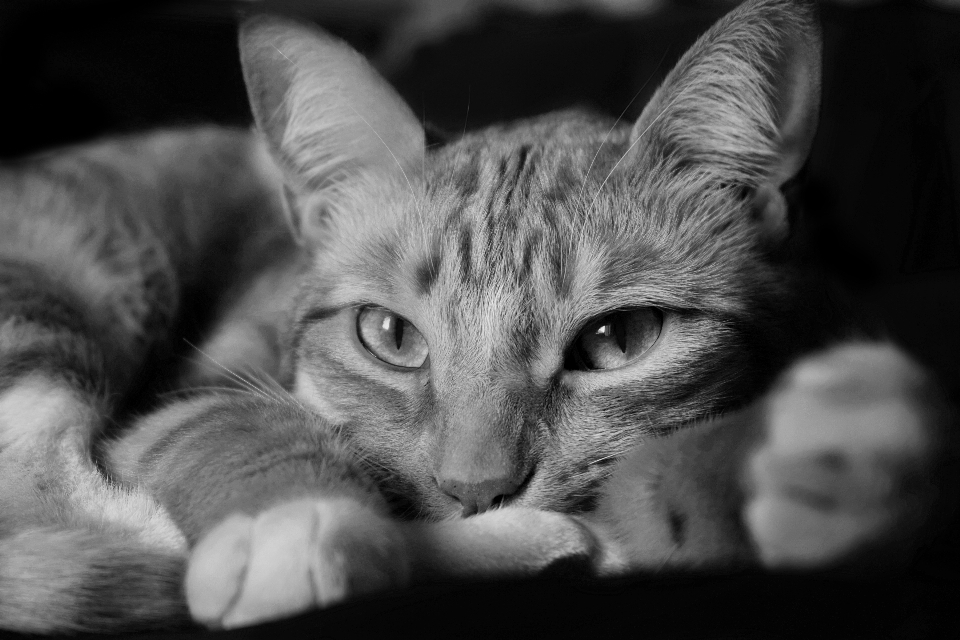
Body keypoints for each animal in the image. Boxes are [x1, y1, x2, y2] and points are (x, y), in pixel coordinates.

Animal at [0, 0, 948, 632]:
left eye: (618, 340)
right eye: (390, 337)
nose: (475, 489)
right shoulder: (188, 394)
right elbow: (238, 428)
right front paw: (299, 523)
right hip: (54, 304)